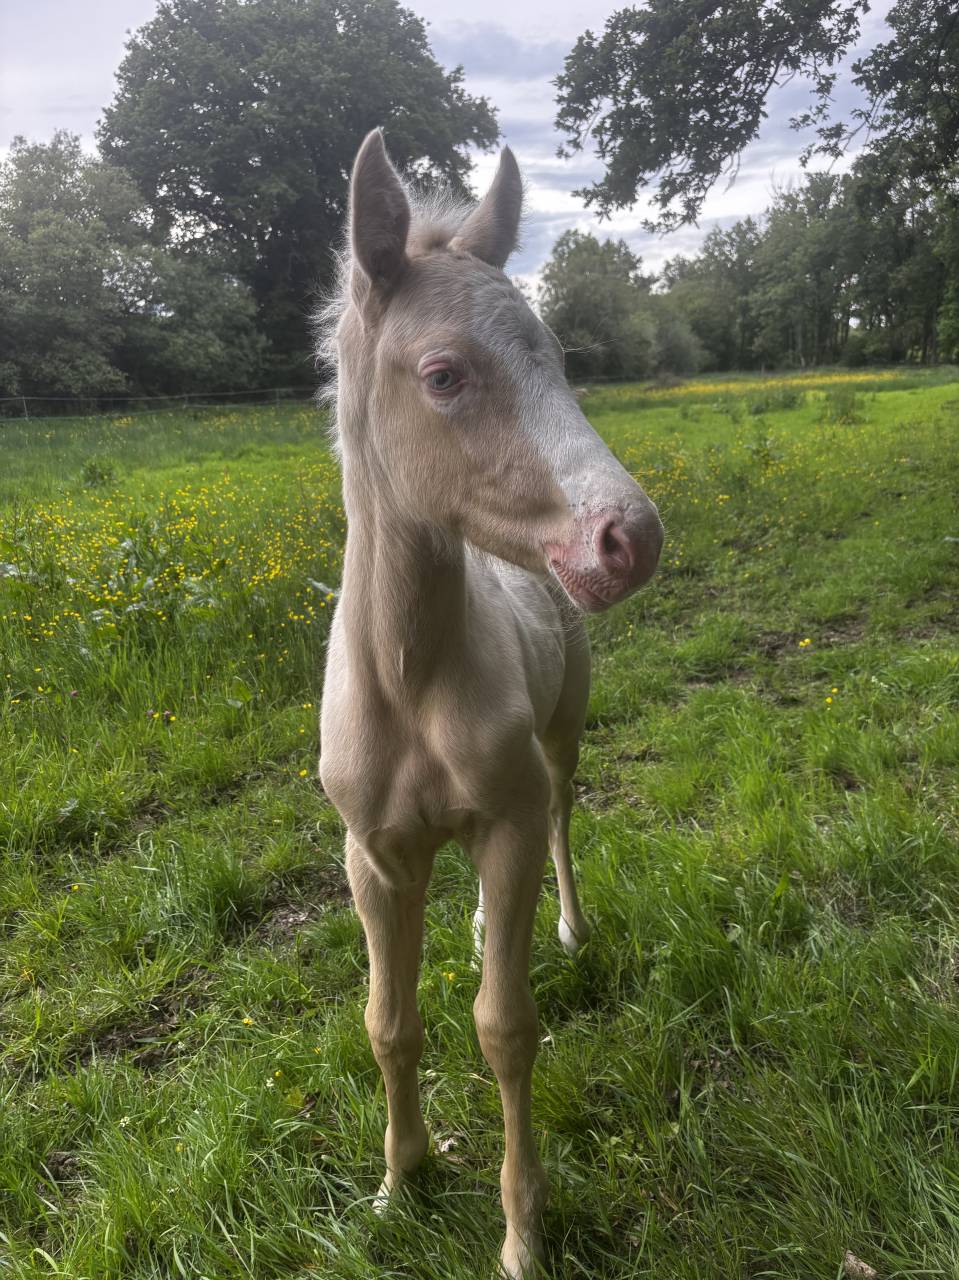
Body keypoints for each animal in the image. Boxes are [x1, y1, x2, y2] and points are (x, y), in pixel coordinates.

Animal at [317, 130, 664, 1278]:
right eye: (443, 374)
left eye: (555, 356)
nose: (628, 537)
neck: (411, 678)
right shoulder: (372, 853)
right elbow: (388, 1020)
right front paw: (400, 1185)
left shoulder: (502, 826)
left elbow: (504, 1027)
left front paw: (522, 1233)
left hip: (559, 742)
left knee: (562, 813)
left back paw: (566, 927)